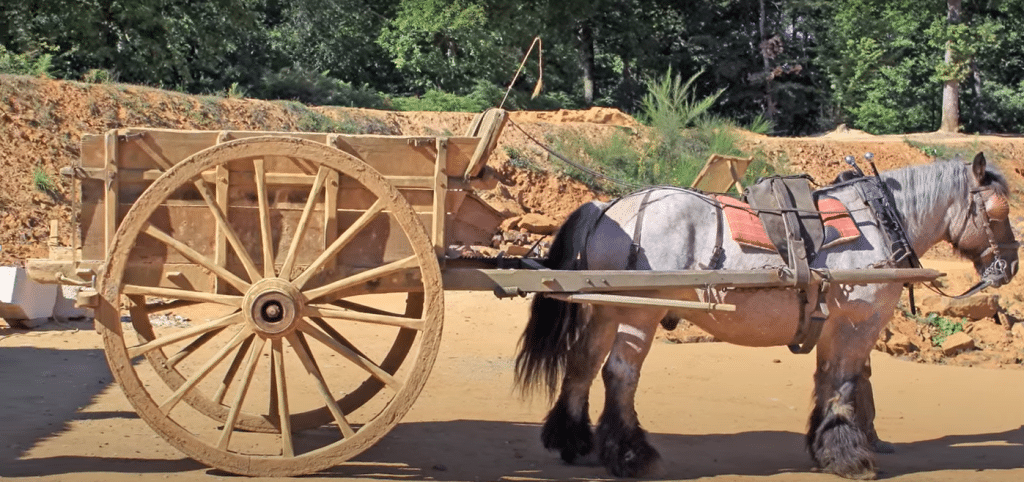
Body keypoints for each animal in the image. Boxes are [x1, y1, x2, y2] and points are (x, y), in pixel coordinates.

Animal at [514, 153, 1018, 479]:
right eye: (999, 210)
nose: (1009, 267)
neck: (880, 220)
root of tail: (608, 206)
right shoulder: (857, 324)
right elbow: (845, 383)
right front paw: (848, 456)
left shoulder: (833, 325)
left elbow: (826, 380)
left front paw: (824, 448)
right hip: (642, 312)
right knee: (619, 374)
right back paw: (631, 455)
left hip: (604, 309)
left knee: (582, 364)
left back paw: (573, 441)